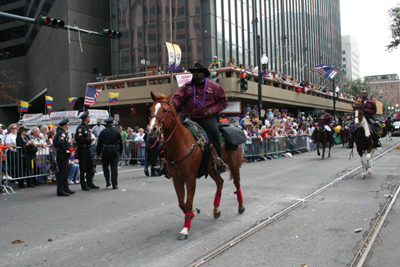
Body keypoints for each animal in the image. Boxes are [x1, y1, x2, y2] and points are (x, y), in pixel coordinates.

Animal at [146, 92, 244, 241]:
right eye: (150, 109)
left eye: (165, 110)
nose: (152, 129)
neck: (181, 143)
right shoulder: (177, 179)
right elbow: (182, 203)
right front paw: (193, 213)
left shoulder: (190, 178)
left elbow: (188, 202)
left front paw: (185, 229)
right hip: (212, 170)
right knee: (220, 183)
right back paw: (216, 210)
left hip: (234, 165)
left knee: (237, 184)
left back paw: (241, 207)